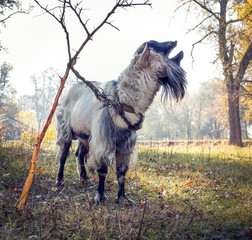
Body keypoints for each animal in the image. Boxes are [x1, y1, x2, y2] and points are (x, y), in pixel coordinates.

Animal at [56, 40, 186, 204]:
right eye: (155, 44)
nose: (174, 41)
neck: (123, 100)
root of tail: (70, 88)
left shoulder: (125, 143)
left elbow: (122, 172)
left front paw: (123, 198)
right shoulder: (102, 140)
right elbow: (102, 170)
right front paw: (100, 196)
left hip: (85, 135)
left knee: (79, 153)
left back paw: (84, 177)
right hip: (65, 129)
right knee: (64, 154)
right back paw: (59, 181)